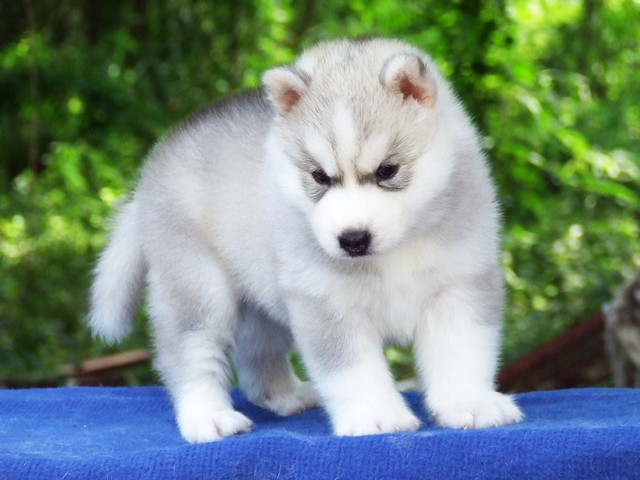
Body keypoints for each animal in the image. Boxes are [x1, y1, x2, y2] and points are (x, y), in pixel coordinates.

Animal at [89, 37, 522, 443]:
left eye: (388, 170)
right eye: (319, 177)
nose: (352, 239)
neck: (395, 252)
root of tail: (150, 170)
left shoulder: (460, 284)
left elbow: (462, 352)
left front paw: (471, 404)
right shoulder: (326, 301)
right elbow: (352, 368)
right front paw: (376, 415)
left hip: (264, 299)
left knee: (258, 355)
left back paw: (284, 395)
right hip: (196, 287)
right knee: (191, 355)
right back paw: (208, 416)